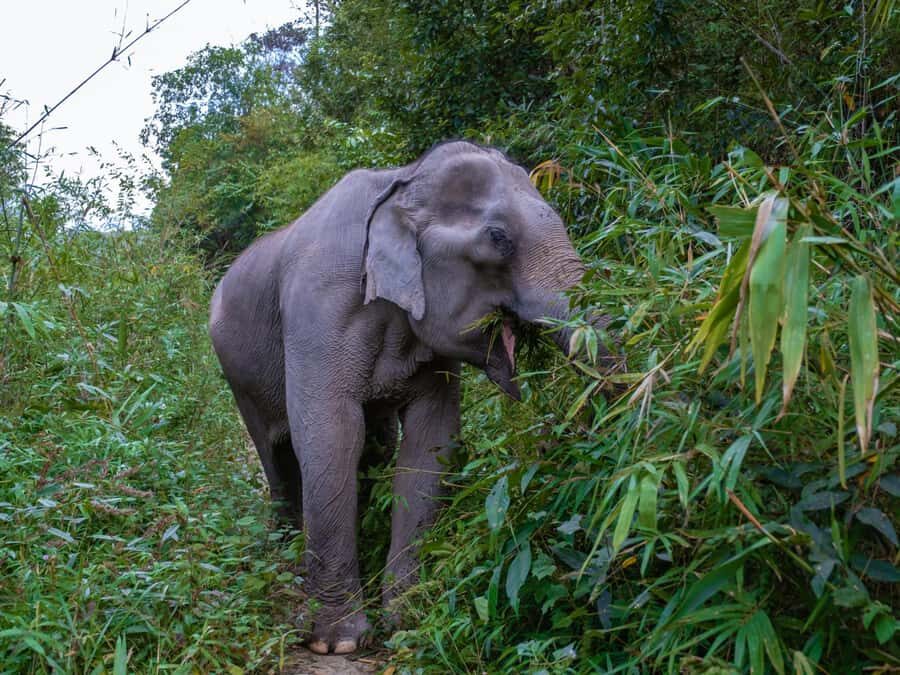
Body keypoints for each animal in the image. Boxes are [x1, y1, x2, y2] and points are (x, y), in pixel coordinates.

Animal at [208, 141, 616, 655]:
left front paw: (406, 625)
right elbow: (330, 436)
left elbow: (430, 444)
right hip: (236, 373)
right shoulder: (317, 312)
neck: (400, 180)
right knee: (278, 457)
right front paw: (338, 644)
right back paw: (286, 566)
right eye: (498, 238)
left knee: (374, 445)